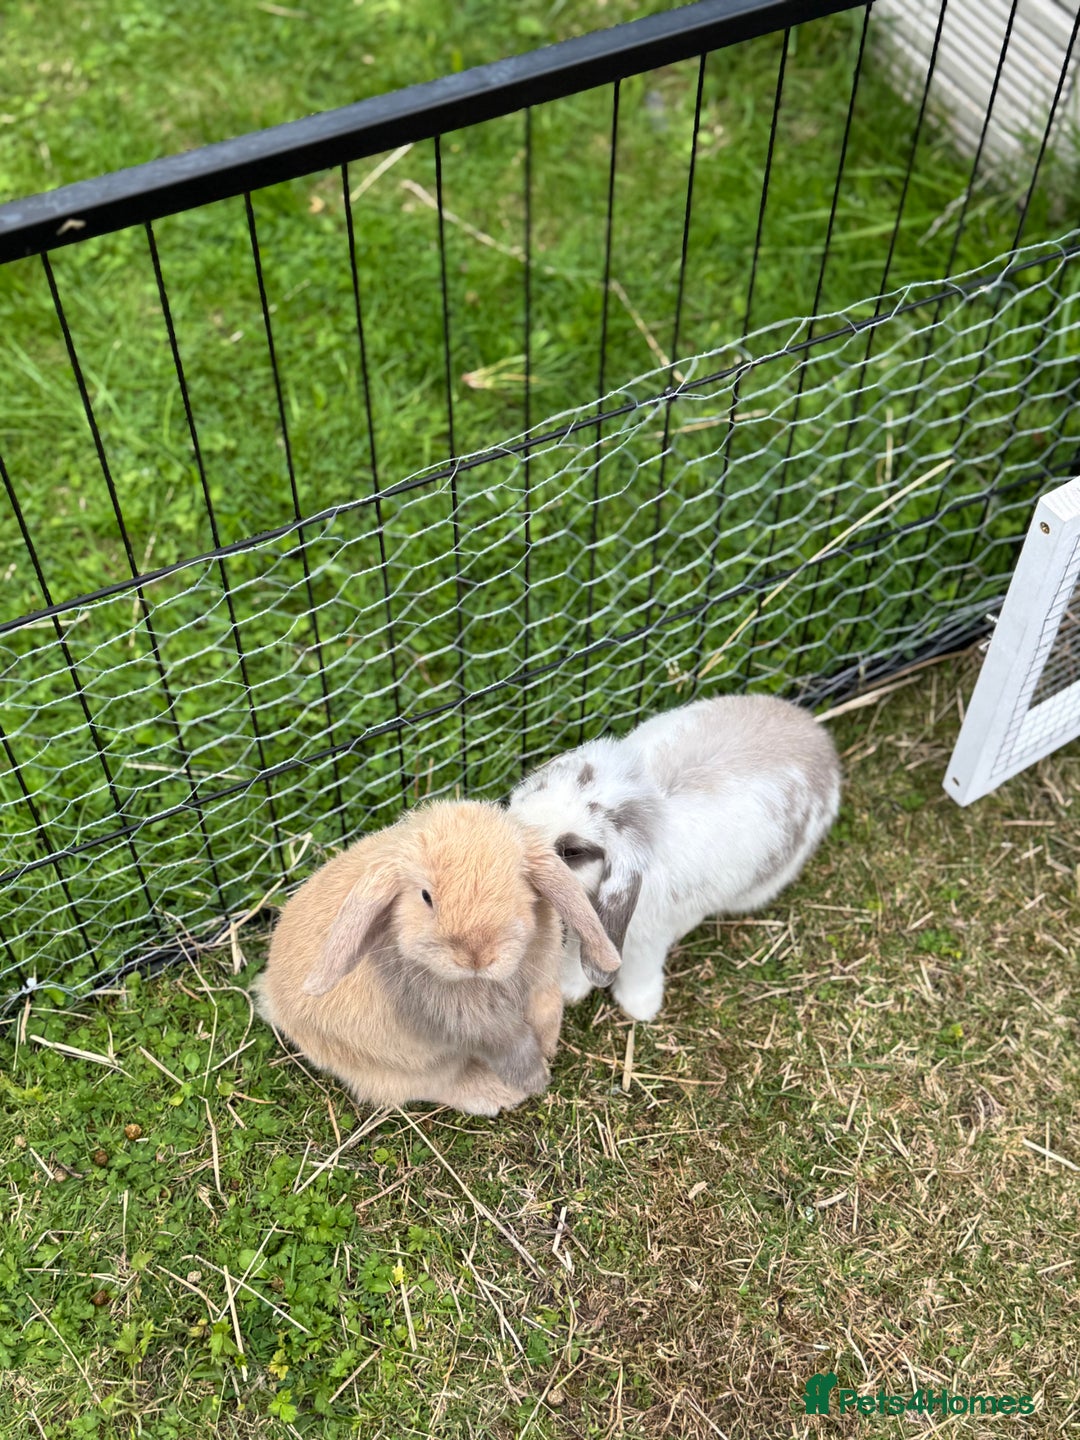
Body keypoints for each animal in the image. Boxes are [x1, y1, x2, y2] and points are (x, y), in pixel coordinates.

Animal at [254, 799, 621, 1116]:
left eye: (518, 887)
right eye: (425, 896)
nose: (476, 956)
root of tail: (270, 995)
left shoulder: (541, 986)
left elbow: (548, 1013)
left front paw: (547, 1051)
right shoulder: (470, 1023)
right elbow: (509, 1045)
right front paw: (536, 1080)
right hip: (404, 1066)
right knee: (434, 1086)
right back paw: (494, 1094)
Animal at [509, 694, 841, 1023]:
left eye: (571, 851)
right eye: (537, 789)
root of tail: (820, 738)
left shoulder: (643, 939)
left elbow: (638, 971)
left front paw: (639, 1008)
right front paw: (569, 990)